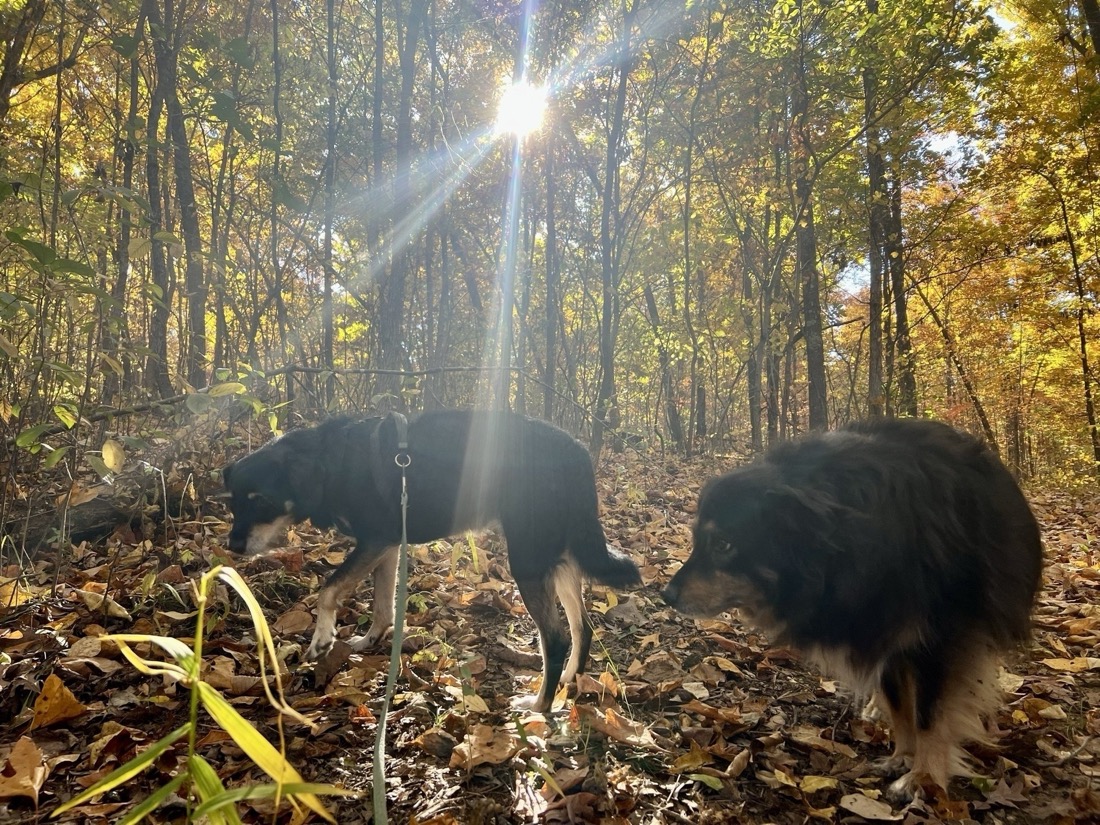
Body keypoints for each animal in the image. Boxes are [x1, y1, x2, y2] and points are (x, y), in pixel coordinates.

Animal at [222, 407, 638, 712]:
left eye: (261, 499)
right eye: (233, 500)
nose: (233, 546)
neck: (331, 462)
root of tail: (577, 453)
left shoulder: (375, 540)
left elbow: (329, 587)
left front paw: (323, 638)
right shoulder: (388, 546)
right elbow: (382, 607)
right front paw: (368, 641)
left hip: (529, 557)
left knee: (555, 637)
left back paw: (539, 706)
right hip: (560, 556)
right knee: (582, 626)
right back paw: (571, 681)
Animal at [655, 422, 1042, 796]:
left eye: (723, 544)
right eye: (697, 541)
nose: (666, 595)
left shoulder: (941, 637)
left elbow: (929, 715)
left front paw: (924, 776)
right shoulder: (876, 626)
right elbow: (900, 704)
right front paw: (903, 756)